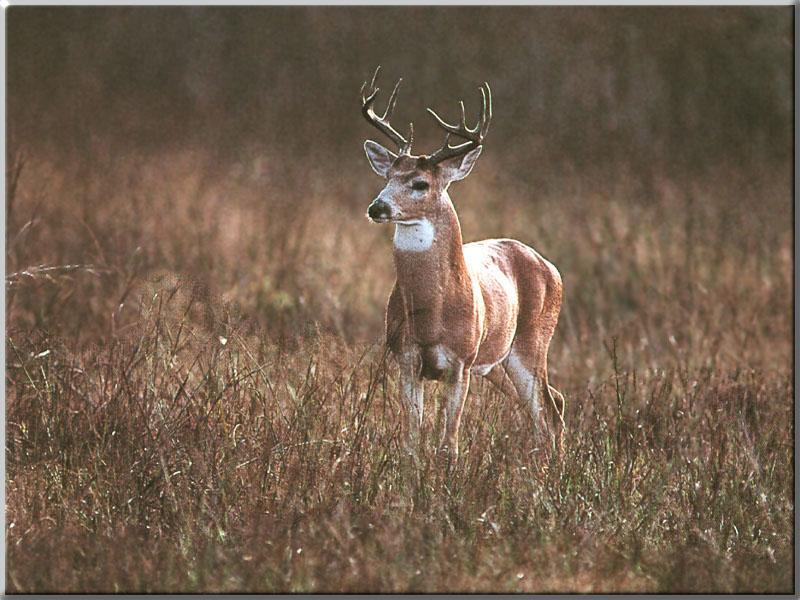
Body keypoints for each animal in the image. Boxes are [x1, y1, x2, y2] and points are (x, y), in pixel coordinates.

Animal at [360, 67, 564, 460]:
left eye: (420, 183)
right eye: (387, 177)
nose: (377, 207)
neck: (432, 312)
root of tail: (551, 267)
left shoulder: (460, 362)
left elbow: (449, 445)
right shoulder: (406, 358)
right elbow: (411, 442)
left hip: (531, 342)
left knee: (549, 409)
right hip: (496, 361)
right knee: (551, 404)